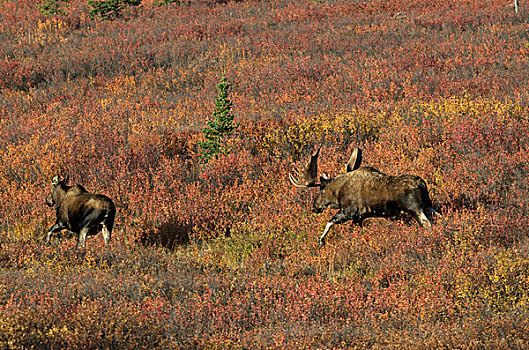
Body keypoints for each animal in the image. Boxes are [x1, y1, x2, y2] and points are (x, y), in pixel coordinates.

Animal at [290, 146, 436, 247]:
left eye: (321, 190)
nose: (314, 207)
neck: (338, 193)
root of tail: (422, 184)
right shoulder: (360, 217)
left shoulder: (349, 212)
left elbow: (330, 222)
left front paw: (320, 241)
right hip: (428, 205)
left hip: (415, 209)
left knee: (427, 224)